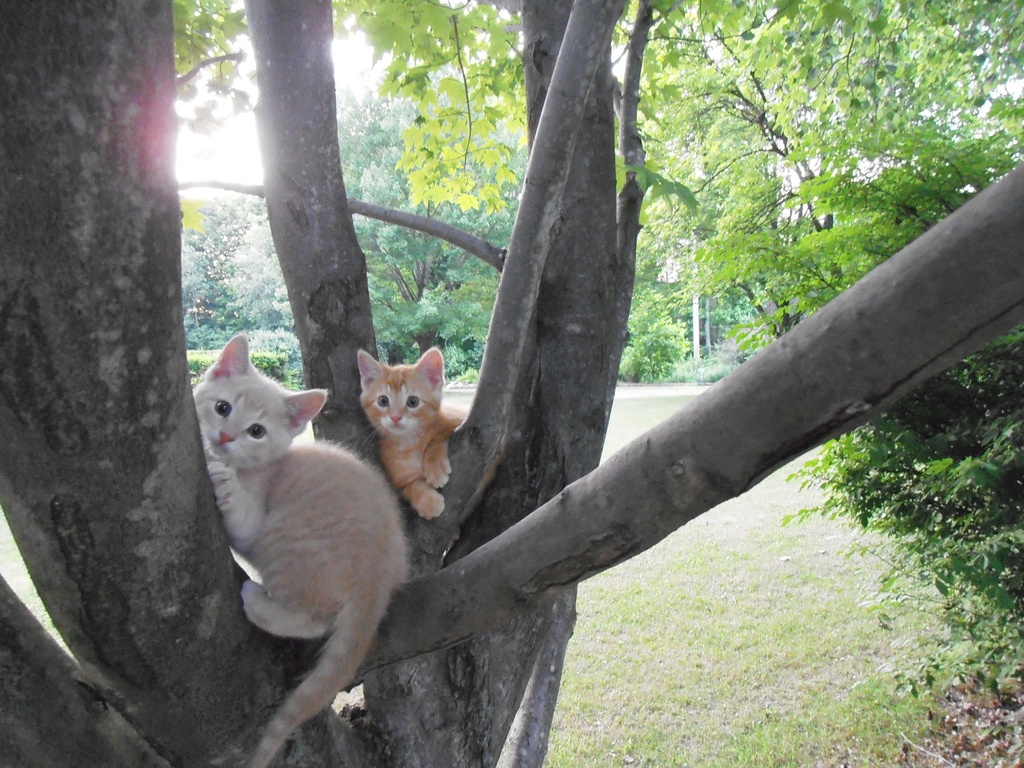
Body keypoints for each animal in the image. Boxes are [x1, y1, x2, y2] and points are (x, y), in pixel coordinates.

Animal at [194, 335, 407, 768]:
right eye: (223, 408)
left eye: (256, 431)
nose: (225, 437)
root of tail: (378, 578)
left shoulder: (254, 521)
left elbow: (241, 520)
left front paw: (221, 476)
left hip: (284, 538)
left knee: (316, 618)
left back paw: (256, 599)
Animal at [360, 350, 468, 524]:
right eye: (383, 400)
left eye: (412, 401)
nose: (395, 417)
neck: (409, 443)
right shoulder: (398, 477)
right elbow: (409, 486)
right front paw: (427, 502)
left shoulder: (459, 420)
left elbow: (439, 436)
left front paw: (435, 466)